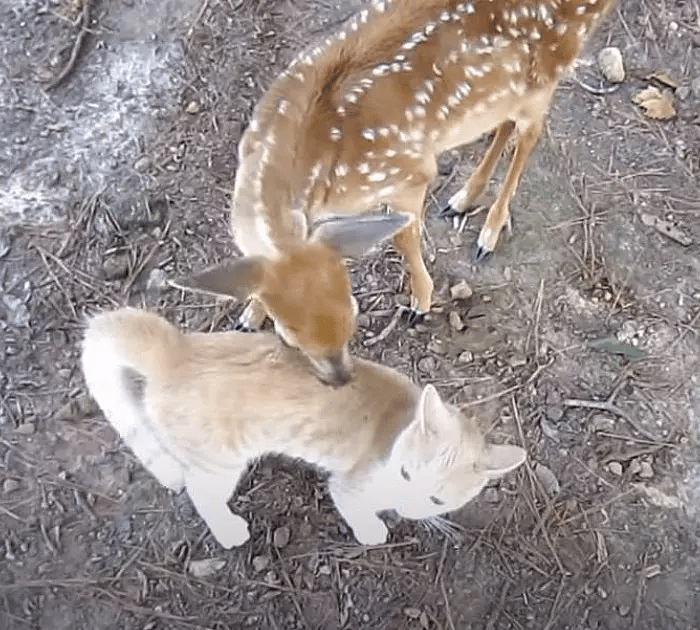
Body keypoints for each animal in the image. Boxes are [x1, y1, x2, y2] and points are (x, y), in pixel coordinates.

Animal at [80, 308, 524, 552]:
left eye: (435, 498)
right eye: (404, 474)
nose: (404, 503)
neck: (399, 427)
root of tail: (177, 350)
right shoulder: (350, 486)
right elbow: (356, 509)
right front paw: (374, 529)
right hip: (218, 463)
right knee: (199, 493)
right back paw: (227, 529)